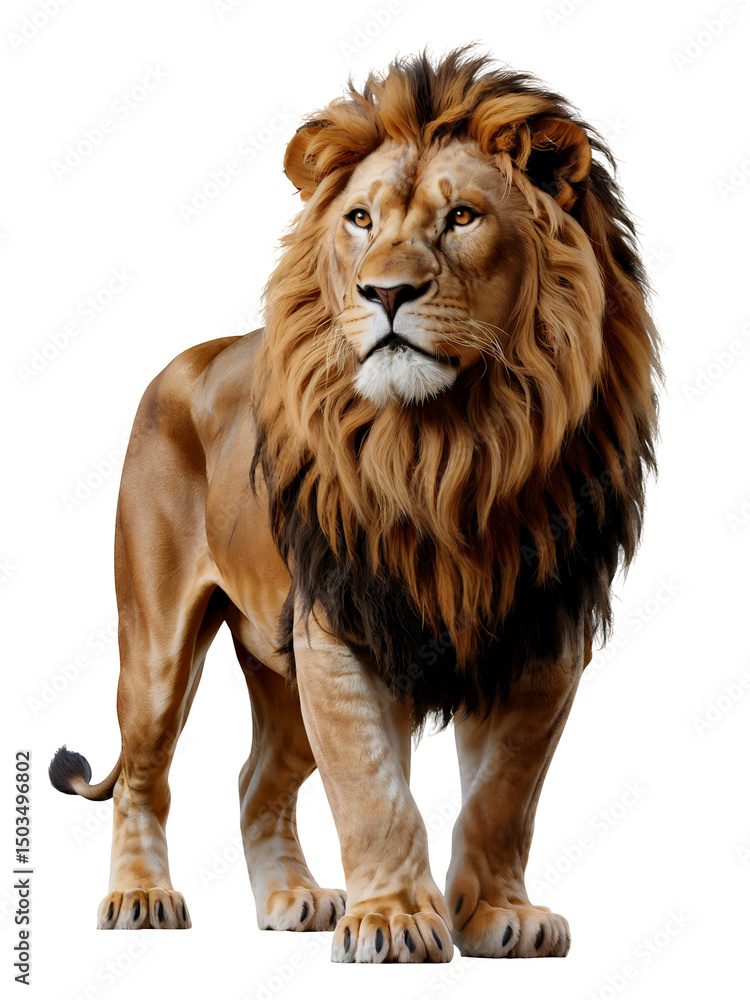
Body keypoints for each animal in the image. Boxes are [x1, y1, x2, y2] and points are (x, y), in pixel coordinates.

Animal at [49, 48, 659, 962]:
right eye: (362, 220)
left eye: (464, 217)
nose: (386, 293)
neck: (451, 446)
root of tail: (186, 360)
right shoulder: (342, 620)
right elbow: (373, 787)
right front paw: (396, 920)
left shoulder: (542, 628)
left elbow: (504, 794)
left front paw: (497, 915)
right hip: (156, 646)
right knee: (144, 774)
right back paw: (140, 897)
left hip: (278, 668)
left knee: (255, 779)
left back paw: (292, 900)